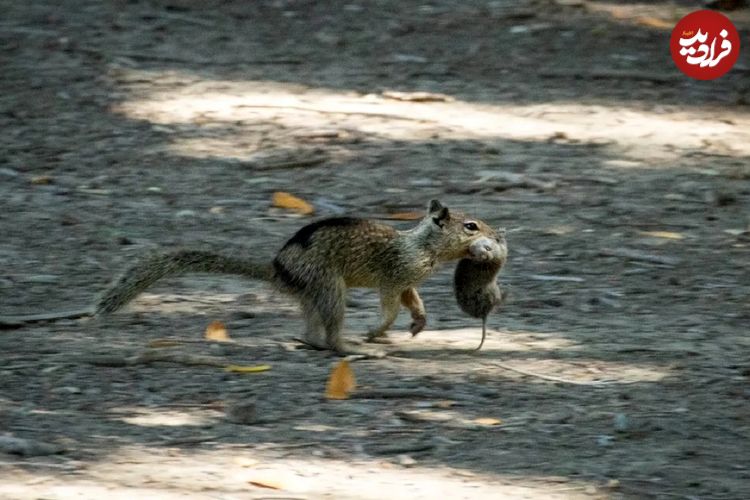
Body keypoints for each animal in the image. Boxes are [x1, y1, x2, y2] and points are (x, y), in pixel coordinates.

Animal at [95, 200, 506, 356]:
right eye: (471, 226)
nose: (499, 235)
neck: (422, 244)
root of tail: (277, 270)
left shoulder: (408, 281)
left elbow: (413, 301)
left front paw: (418, 323)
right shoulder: (394, 276)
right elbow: (390, 306)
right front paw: (377, 331)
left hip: (313, 294)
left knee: (311, 331)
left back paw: (312, 342)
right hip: (329, 287)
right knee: (332, 332)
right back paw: (352, 347)